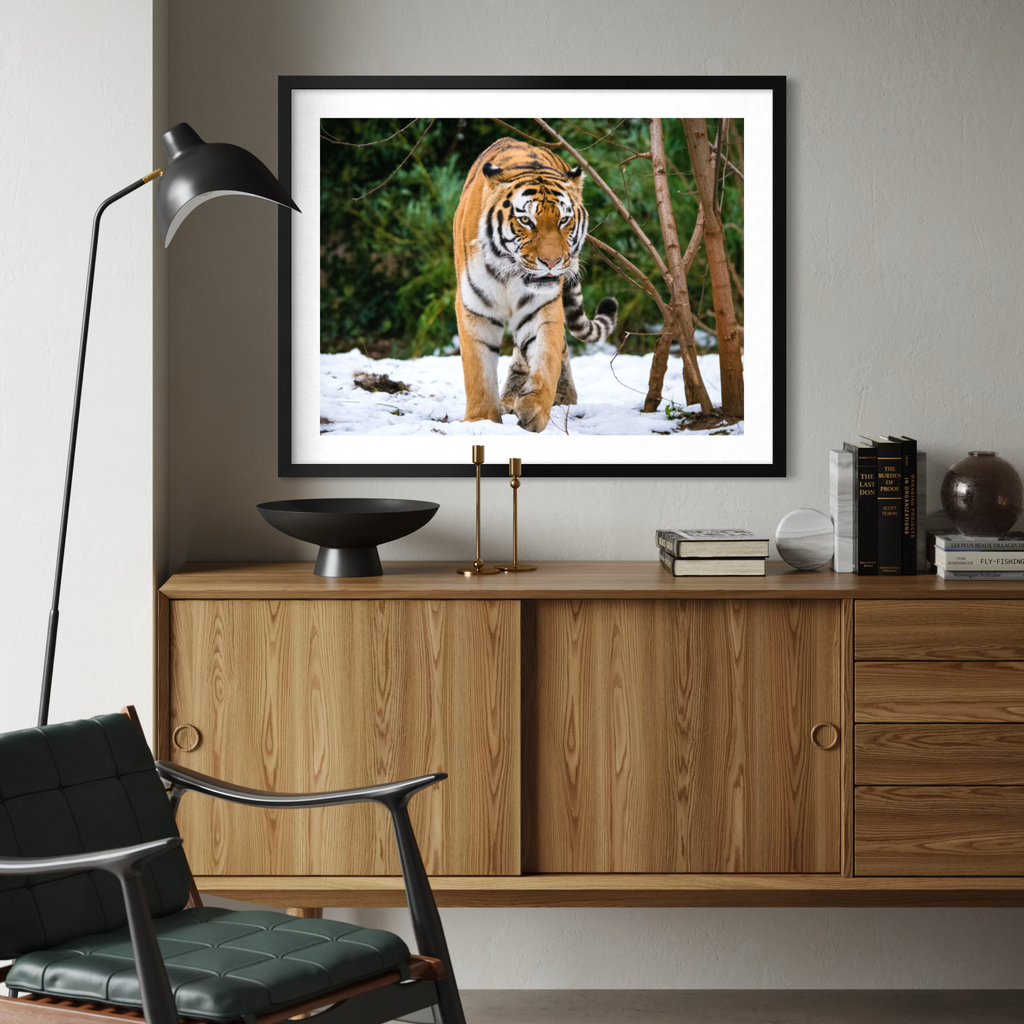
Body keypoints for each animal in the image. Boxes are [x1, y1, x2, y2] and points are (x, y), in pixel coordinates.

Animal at [452, 138, 618, 432]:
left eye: (564, 220)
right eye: (526, 221)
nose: (552, 262)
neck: (508, 272)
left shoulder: (541, 306)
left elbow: (546, 356)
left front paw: (535, 409)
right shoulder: (475, 309)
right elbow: (478, 371)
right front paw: (480, 421)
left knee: (552, 349)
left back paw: (561, 397)